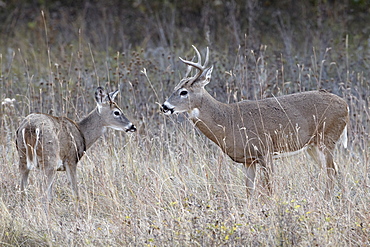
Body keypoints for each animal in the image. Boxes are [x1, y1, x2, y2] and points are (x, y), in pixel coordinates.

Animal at [162, 45, 350, 198]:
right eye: (175, 88)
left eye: (184, 92)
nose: (164, 106)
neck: (228, 121)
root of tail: (346, 105)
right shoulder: (248, 160)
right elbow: (249, 191)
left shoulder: (265, 151)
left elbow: (270, 188)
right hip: (312, 146)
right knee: (333, 170)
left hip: (327, 138)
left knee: (332, 171)